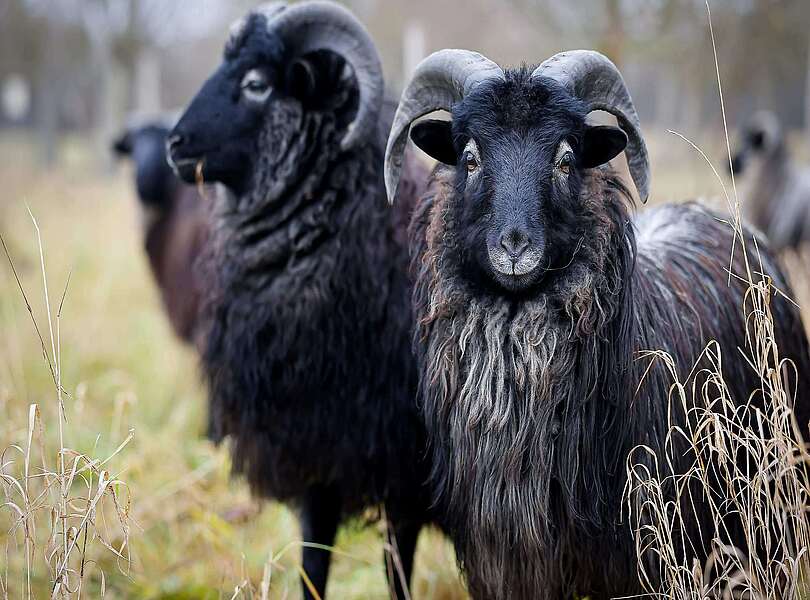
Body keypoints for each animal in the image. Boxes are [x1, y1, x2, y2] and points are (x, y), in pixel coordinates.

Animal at [166, 2, 434, 598]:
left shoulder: (402, 464)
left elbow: (398, 571)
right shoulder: (312, 449)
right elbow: (314, 563)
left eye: (257, 84)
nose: (174, 145)